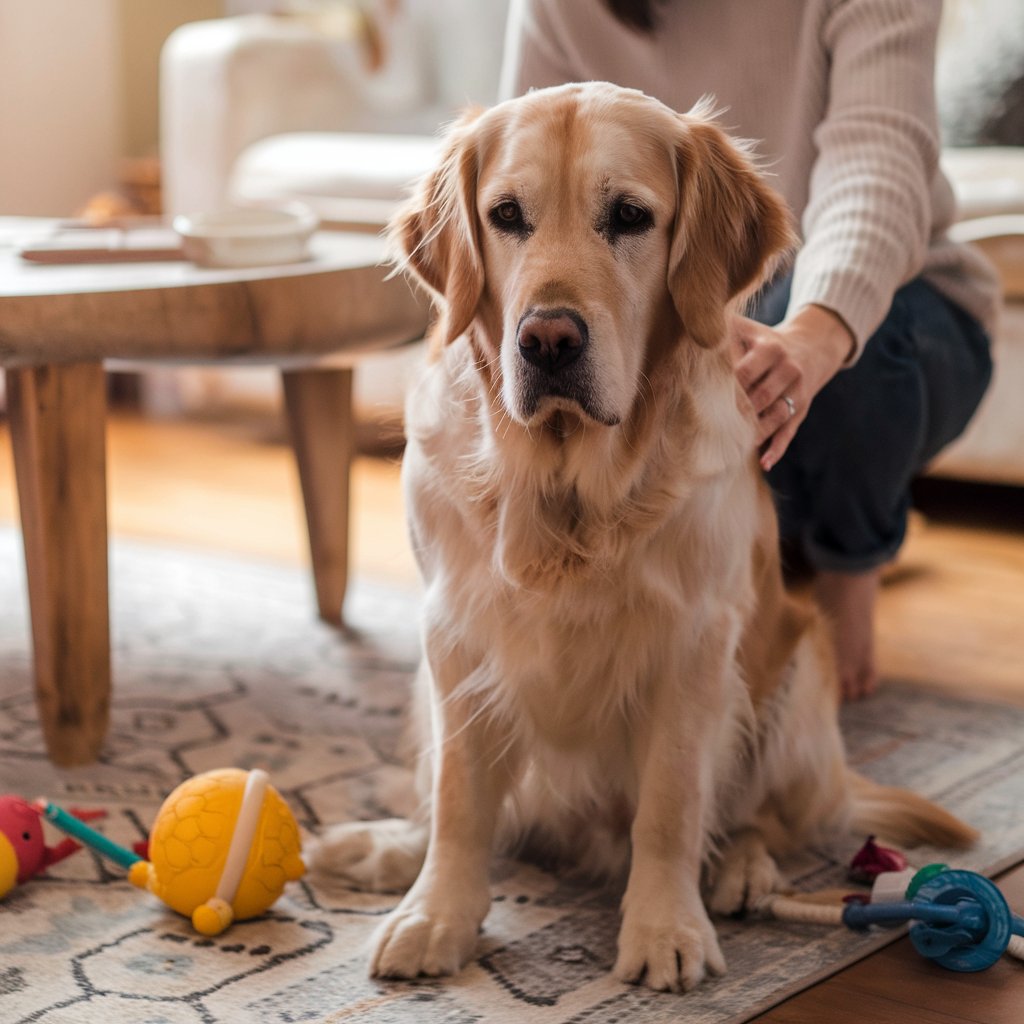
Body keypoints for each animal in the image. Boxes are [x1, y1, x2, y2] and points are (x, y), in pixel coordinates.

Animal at [311, 83, 974, 995]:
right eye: (506, 215)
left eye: (629, 216)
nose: (547, 340)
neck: (567, 488)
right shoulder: (456, 634)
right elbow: (460, 800)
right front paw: (436, 914)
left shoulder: (692, 645)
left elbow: (670, 806)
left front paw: (665, 929)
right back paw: (383, 847)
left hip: (795, 685)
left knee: (759, 817)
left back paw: (742, 872)